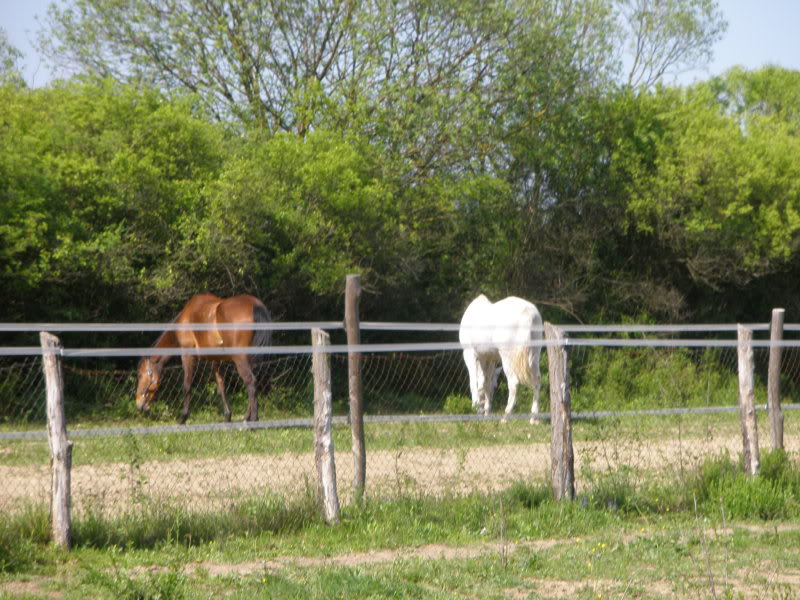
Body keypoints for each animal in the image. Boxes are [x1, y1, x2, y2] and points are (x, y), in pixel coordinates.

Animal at [136, 292, 274, 424]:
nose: (138, 404)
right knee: (254, 382)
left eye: (141, 375)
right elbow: (221, 387)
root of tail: (255, 305)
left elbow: (187, 385)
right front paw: (227, 416)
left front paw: (183, 417)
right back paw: (246, 417)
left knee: (250, 381)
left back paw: (253, 420)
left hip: (240, 359)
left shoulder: (187, 355)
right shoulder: (216, 360)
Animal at [462, 294, 544, 424]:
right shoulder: (490, 359)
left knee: (513, 382)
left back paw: (505, 417)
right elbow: (486, 382)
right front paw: (486, 412)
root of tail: (528, 314)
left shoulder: (469, 354)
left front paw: (477, 407)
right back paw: (533, 418)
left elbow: (474, 382)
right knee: (537, 380)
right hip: (534, 356)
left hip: (507, 358)